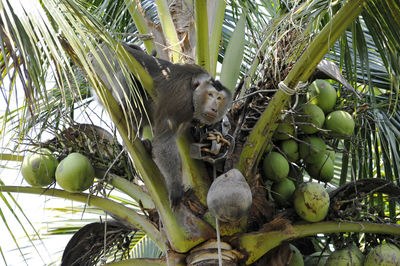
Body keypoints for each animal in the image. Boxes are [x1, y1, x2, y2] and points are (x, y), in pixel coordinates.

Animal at [90, 42, 231, 208]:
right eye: (210, 95)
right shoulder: (179, 101)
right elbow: (164, 142)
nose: (214, 108)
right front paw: (175, 185)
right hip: (103, 64)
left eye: (219, 98)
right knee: (126, 75)